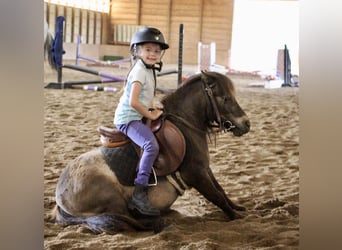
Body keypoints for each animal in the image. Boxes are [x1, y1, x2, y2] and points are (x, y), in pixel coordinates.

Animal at [49, 71, 250, 234]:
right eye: (226, 98)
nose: (246, 124)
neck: (185, 127)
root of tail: (60, 199)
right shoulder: (196, 174)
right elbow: (216, 196)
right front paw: (235, 216)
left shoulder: (205, 168)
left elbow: (220, 190)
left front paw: (238, 208)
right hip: (114, 199)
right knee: (130, 219)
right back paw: (159, 222)